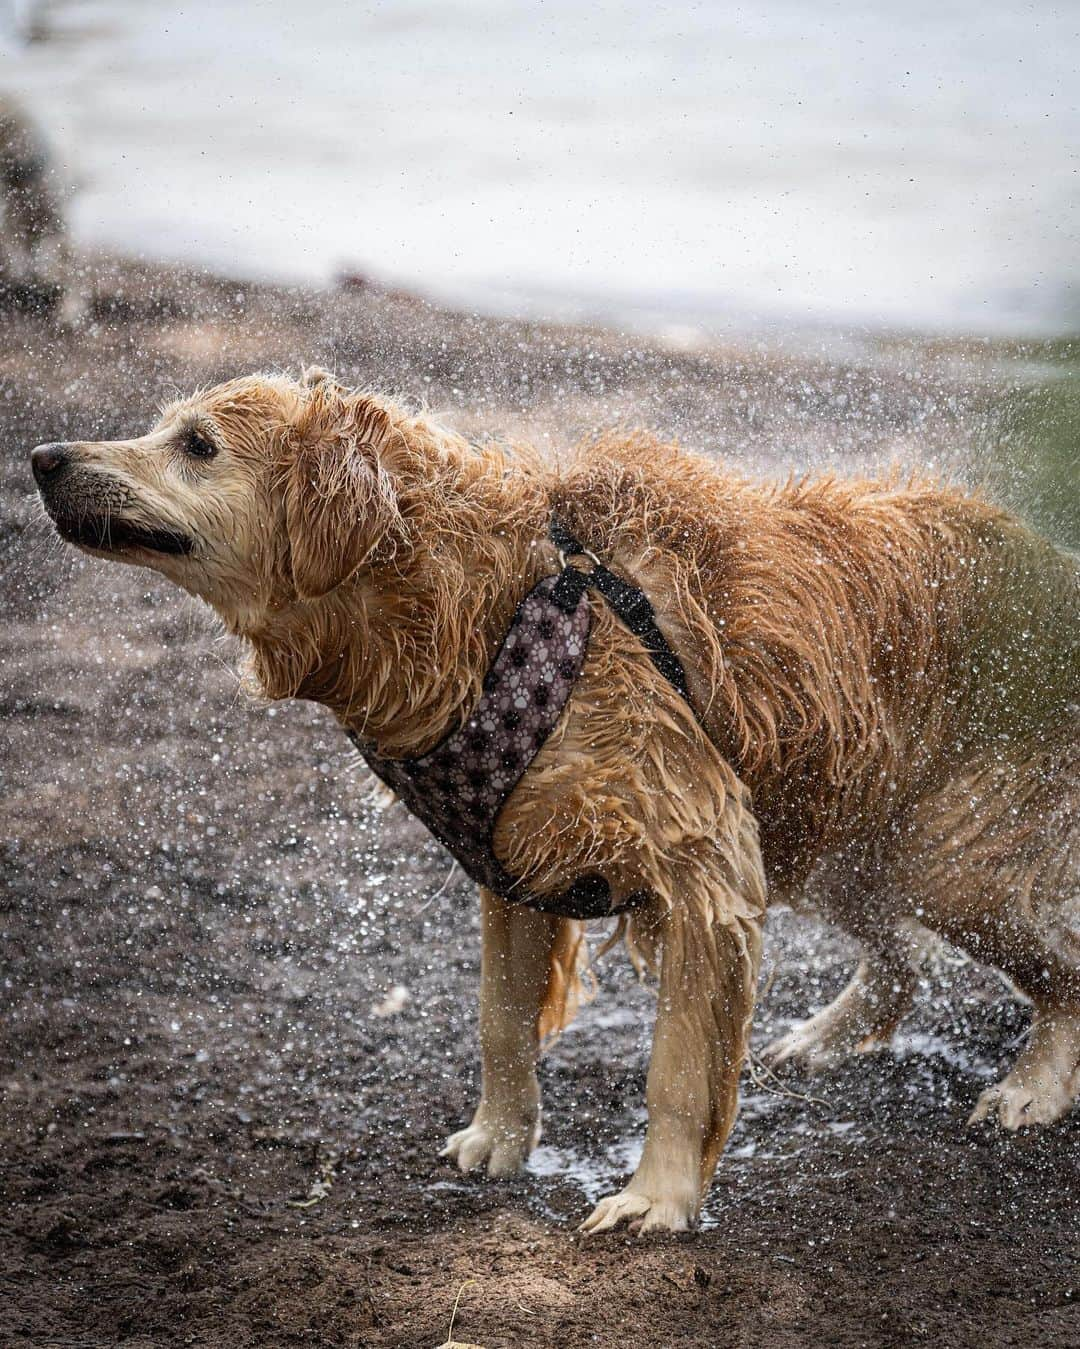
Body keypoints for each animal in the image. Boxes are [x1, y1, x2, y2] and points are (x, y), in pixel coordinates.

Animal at [31, 369, 1078, 1235]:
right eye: (163, 424)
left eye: (198, 443)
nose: (44, 458)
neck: (479, 607)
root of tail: (1050, 563)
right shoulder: (516, 867)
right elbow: (500, 1022)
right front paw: (499, 1139)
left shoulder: (703, 860)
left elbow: (678, 1070)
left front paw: (658, 1197)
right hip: (837, 829)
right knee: (904, 956)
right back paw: (826, 1035)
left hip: (948, 859)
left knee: (1051, 966)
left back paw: (1031, 1084)